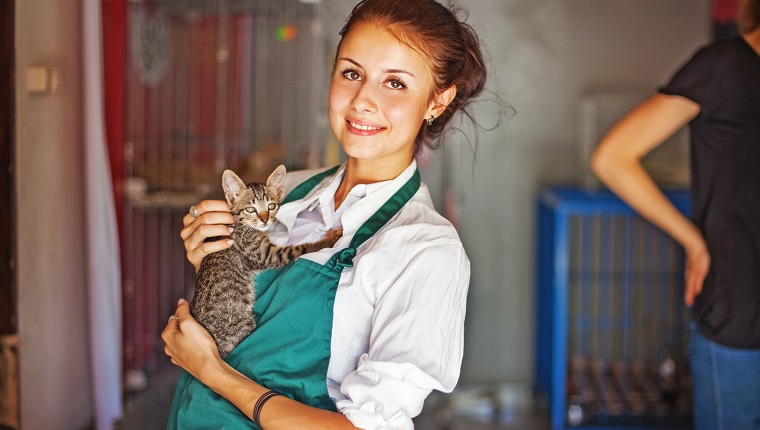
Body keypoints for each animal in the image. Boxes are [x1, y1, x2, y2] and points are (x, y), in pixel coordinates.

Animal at [191, 166, 342, 358]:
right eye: (251, 209)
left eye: (271, 206)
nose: (264, 219)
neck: (241, 224)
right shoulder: (265, 255)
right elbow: (300, 248)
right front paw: (327, 240)